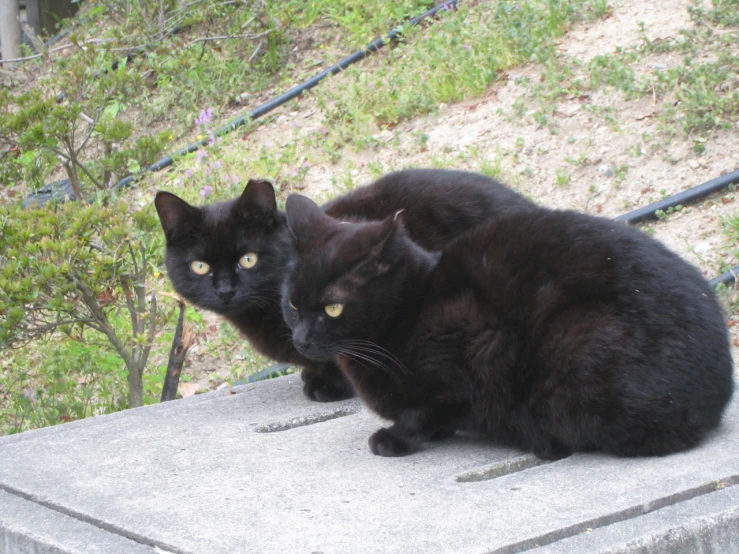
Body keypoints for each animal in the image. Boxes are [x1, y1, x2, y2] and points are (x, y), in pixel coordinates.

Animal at [282, 194, 736, 458]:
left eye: (333, 309)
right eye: (292, 302)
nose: (300, 339)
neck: (409, 311)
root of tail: (720, 389)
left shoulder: (477, 344)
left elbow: (424, 411)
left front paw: (396, 438)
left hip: (576, 339)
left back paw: (546, 443)